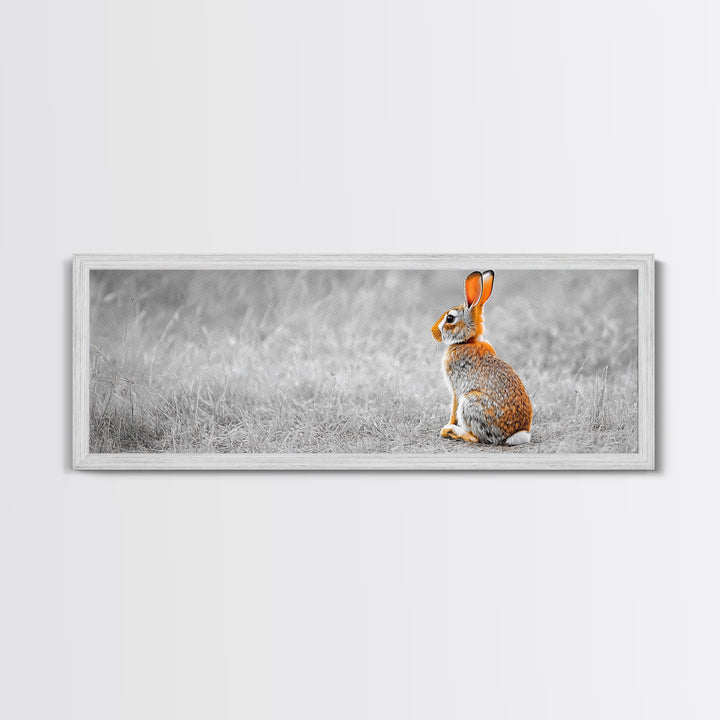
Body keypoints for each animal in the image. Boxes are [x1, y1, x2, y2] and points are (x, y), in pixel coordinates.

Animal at [431, 270, 532, 445]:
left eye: (450, 318)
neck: (467, 341)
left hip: (470, 403)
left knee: (478, 437)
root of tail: (515, 435)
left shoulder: (456, 389)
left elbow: (453, 408)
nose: (433, 332)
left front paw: (448, 425)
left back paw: (451, 432)